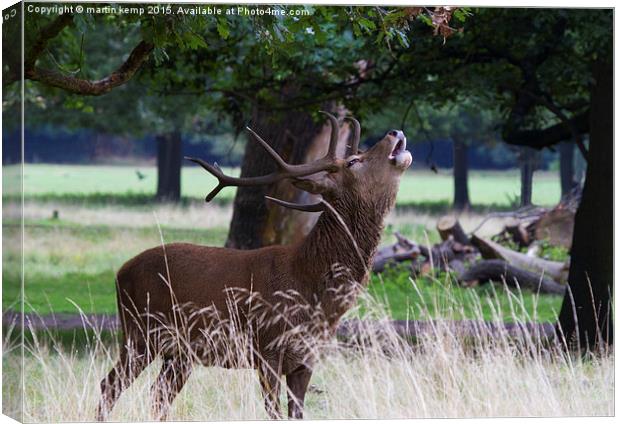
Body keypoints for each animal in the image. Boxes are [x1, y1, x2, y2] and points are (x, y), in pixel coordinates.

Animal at [97, 112, 412, 420]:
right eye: (353, 161)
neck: (313, 291)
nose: (395, 131)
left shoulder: (306, 358)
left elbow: (297, 413)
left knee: (158, 396)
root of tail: (120, 273)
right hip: (140, 331)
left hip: (178, 352)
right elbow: (273, 413)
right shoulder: (267, 347)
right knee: (109, 386)